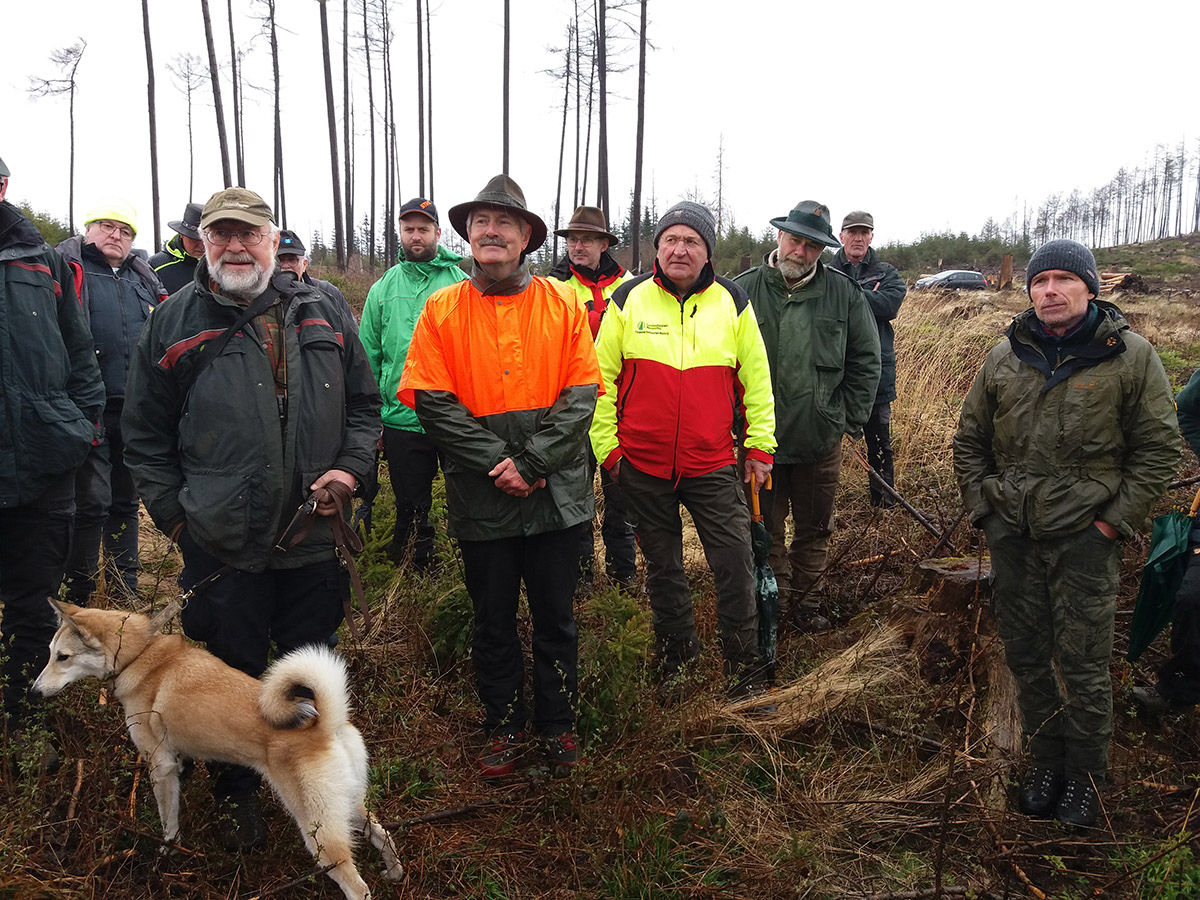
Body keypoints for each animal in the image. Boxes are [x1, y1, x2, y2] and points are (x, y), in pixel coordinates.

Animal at [32, 600, 403, 900]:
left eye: (62, 657)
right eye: (50, 652)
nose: (34, 691)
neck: (141, 654)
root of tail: (326, 723)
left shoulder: (159, 765)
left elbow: (168, 822)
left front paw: (167, 853)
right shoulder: (176, 761)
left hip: (319, 829)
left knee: (356, 885)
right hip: (348, 805)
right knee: (381, 833)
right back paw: (394, 871)